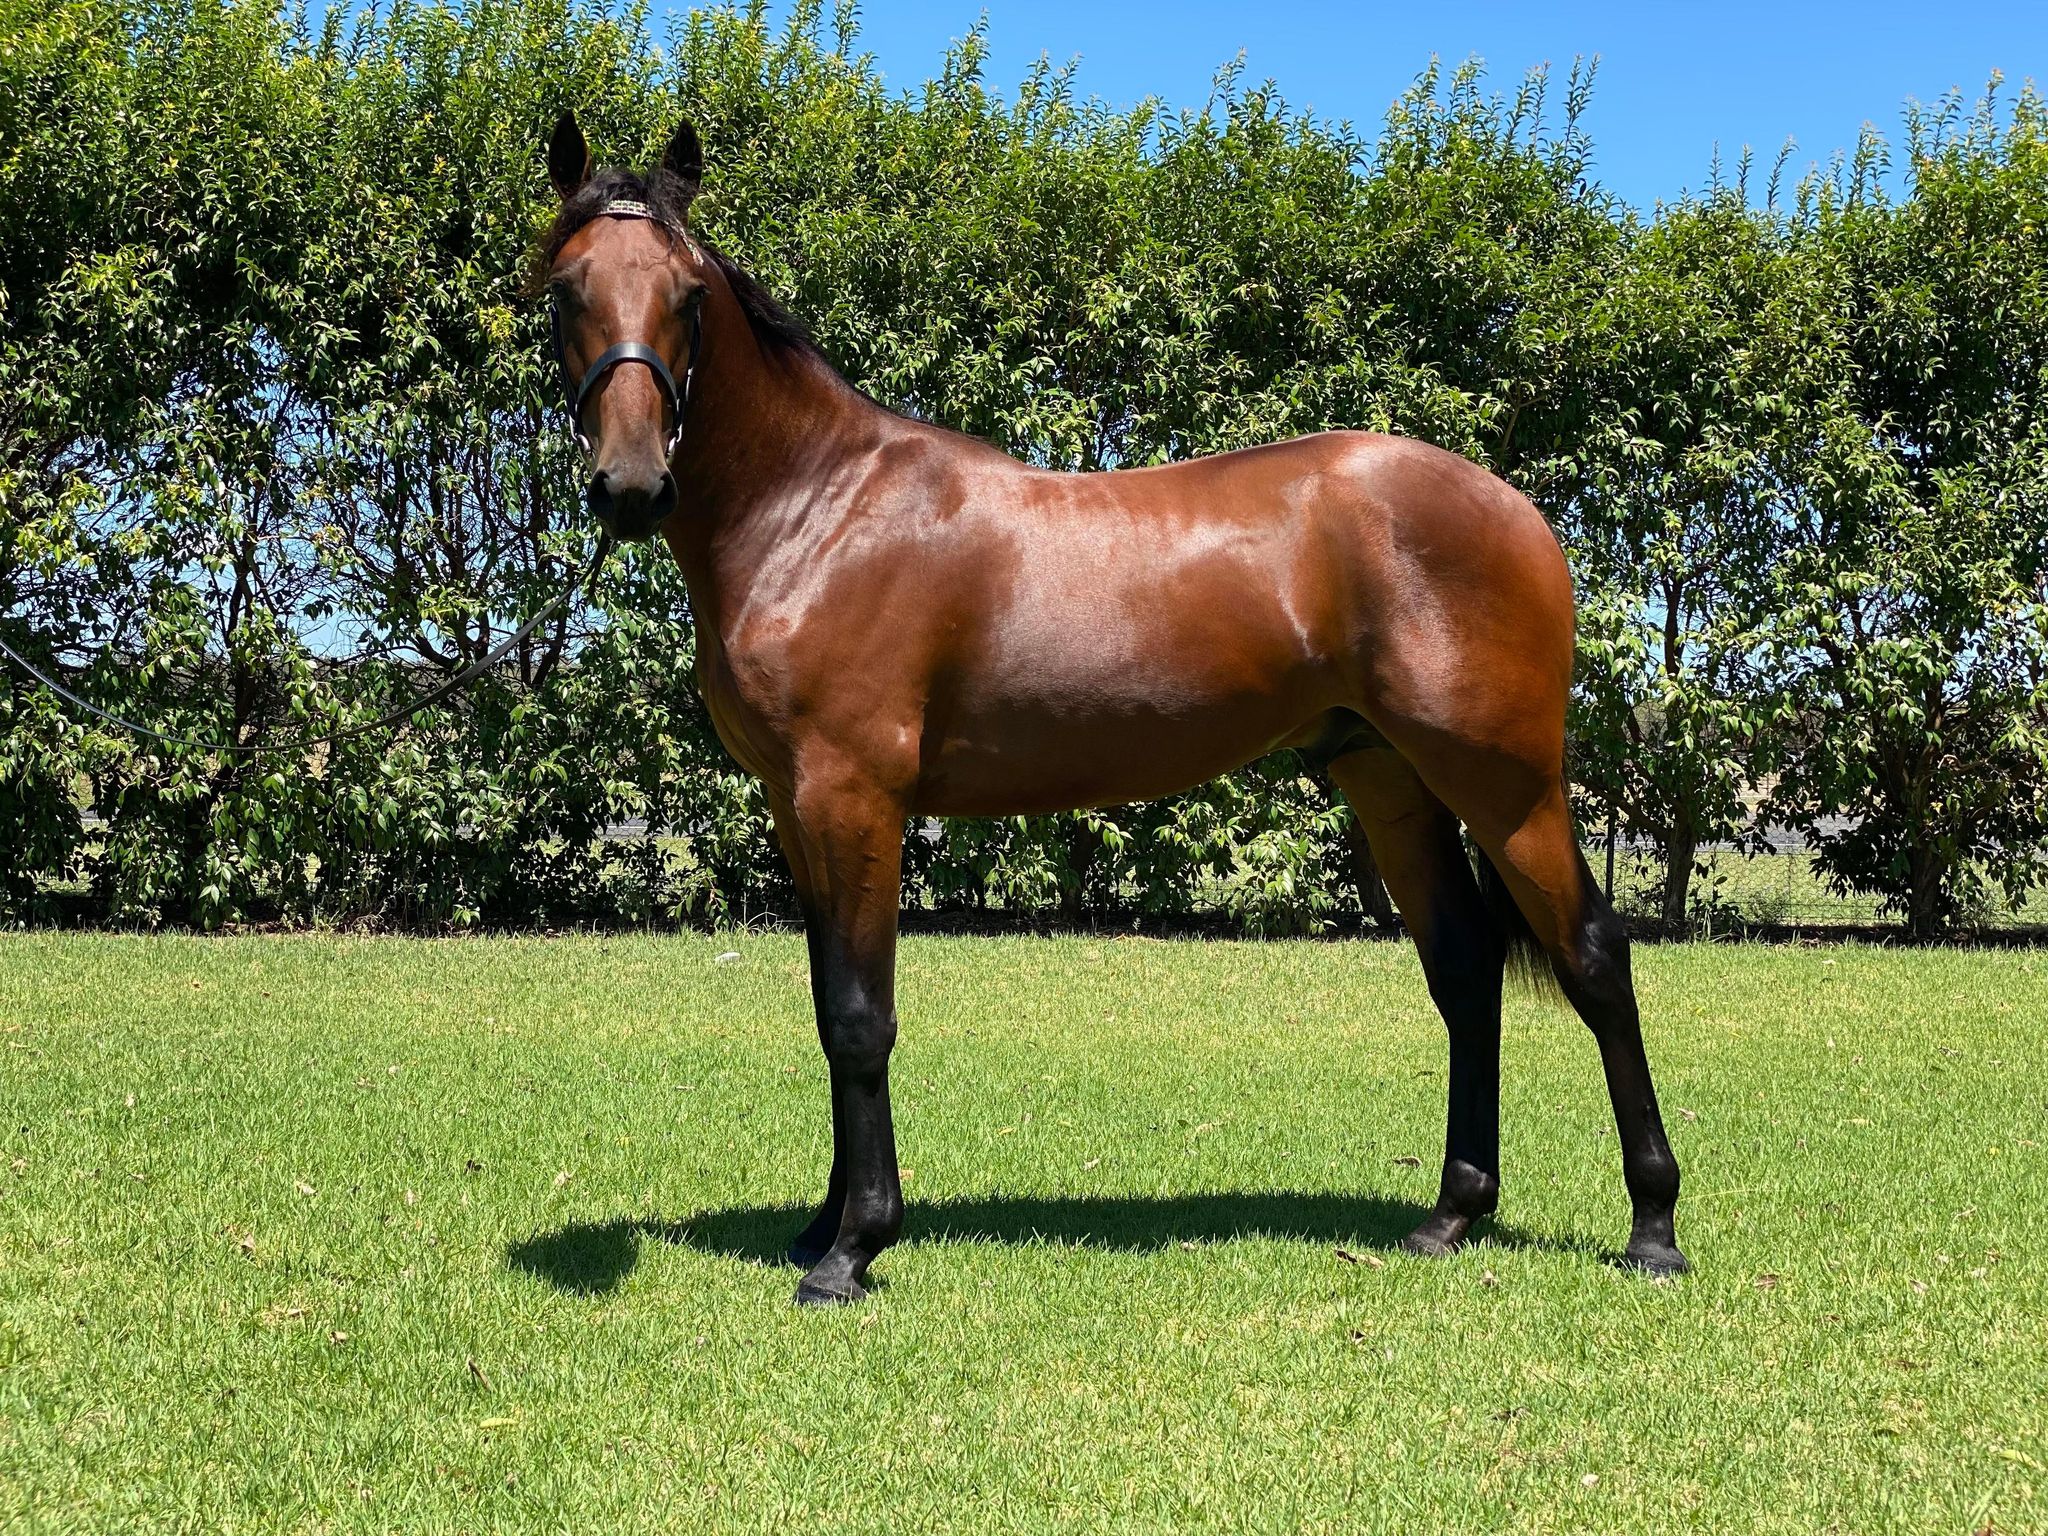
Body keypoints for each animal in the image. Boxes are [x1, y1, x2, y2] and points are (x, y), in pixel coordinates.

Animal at [536, 113, 1686, 1305]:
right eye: (563, 290)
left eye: (688, 296)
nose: (631, 486)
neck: (818, 510)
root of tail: (1516, 509)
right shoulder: (795, 805)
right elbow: (826, 1005)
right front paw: (820, 1228)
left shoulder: (852, 796)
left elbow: (859, 1019)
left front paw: (853, 1248)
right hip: (1391, 778)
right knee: (1463, 971)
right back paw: (1451, 1214)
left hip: (1505, 783)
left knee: (1595, 957)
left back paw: (1652, 1227)